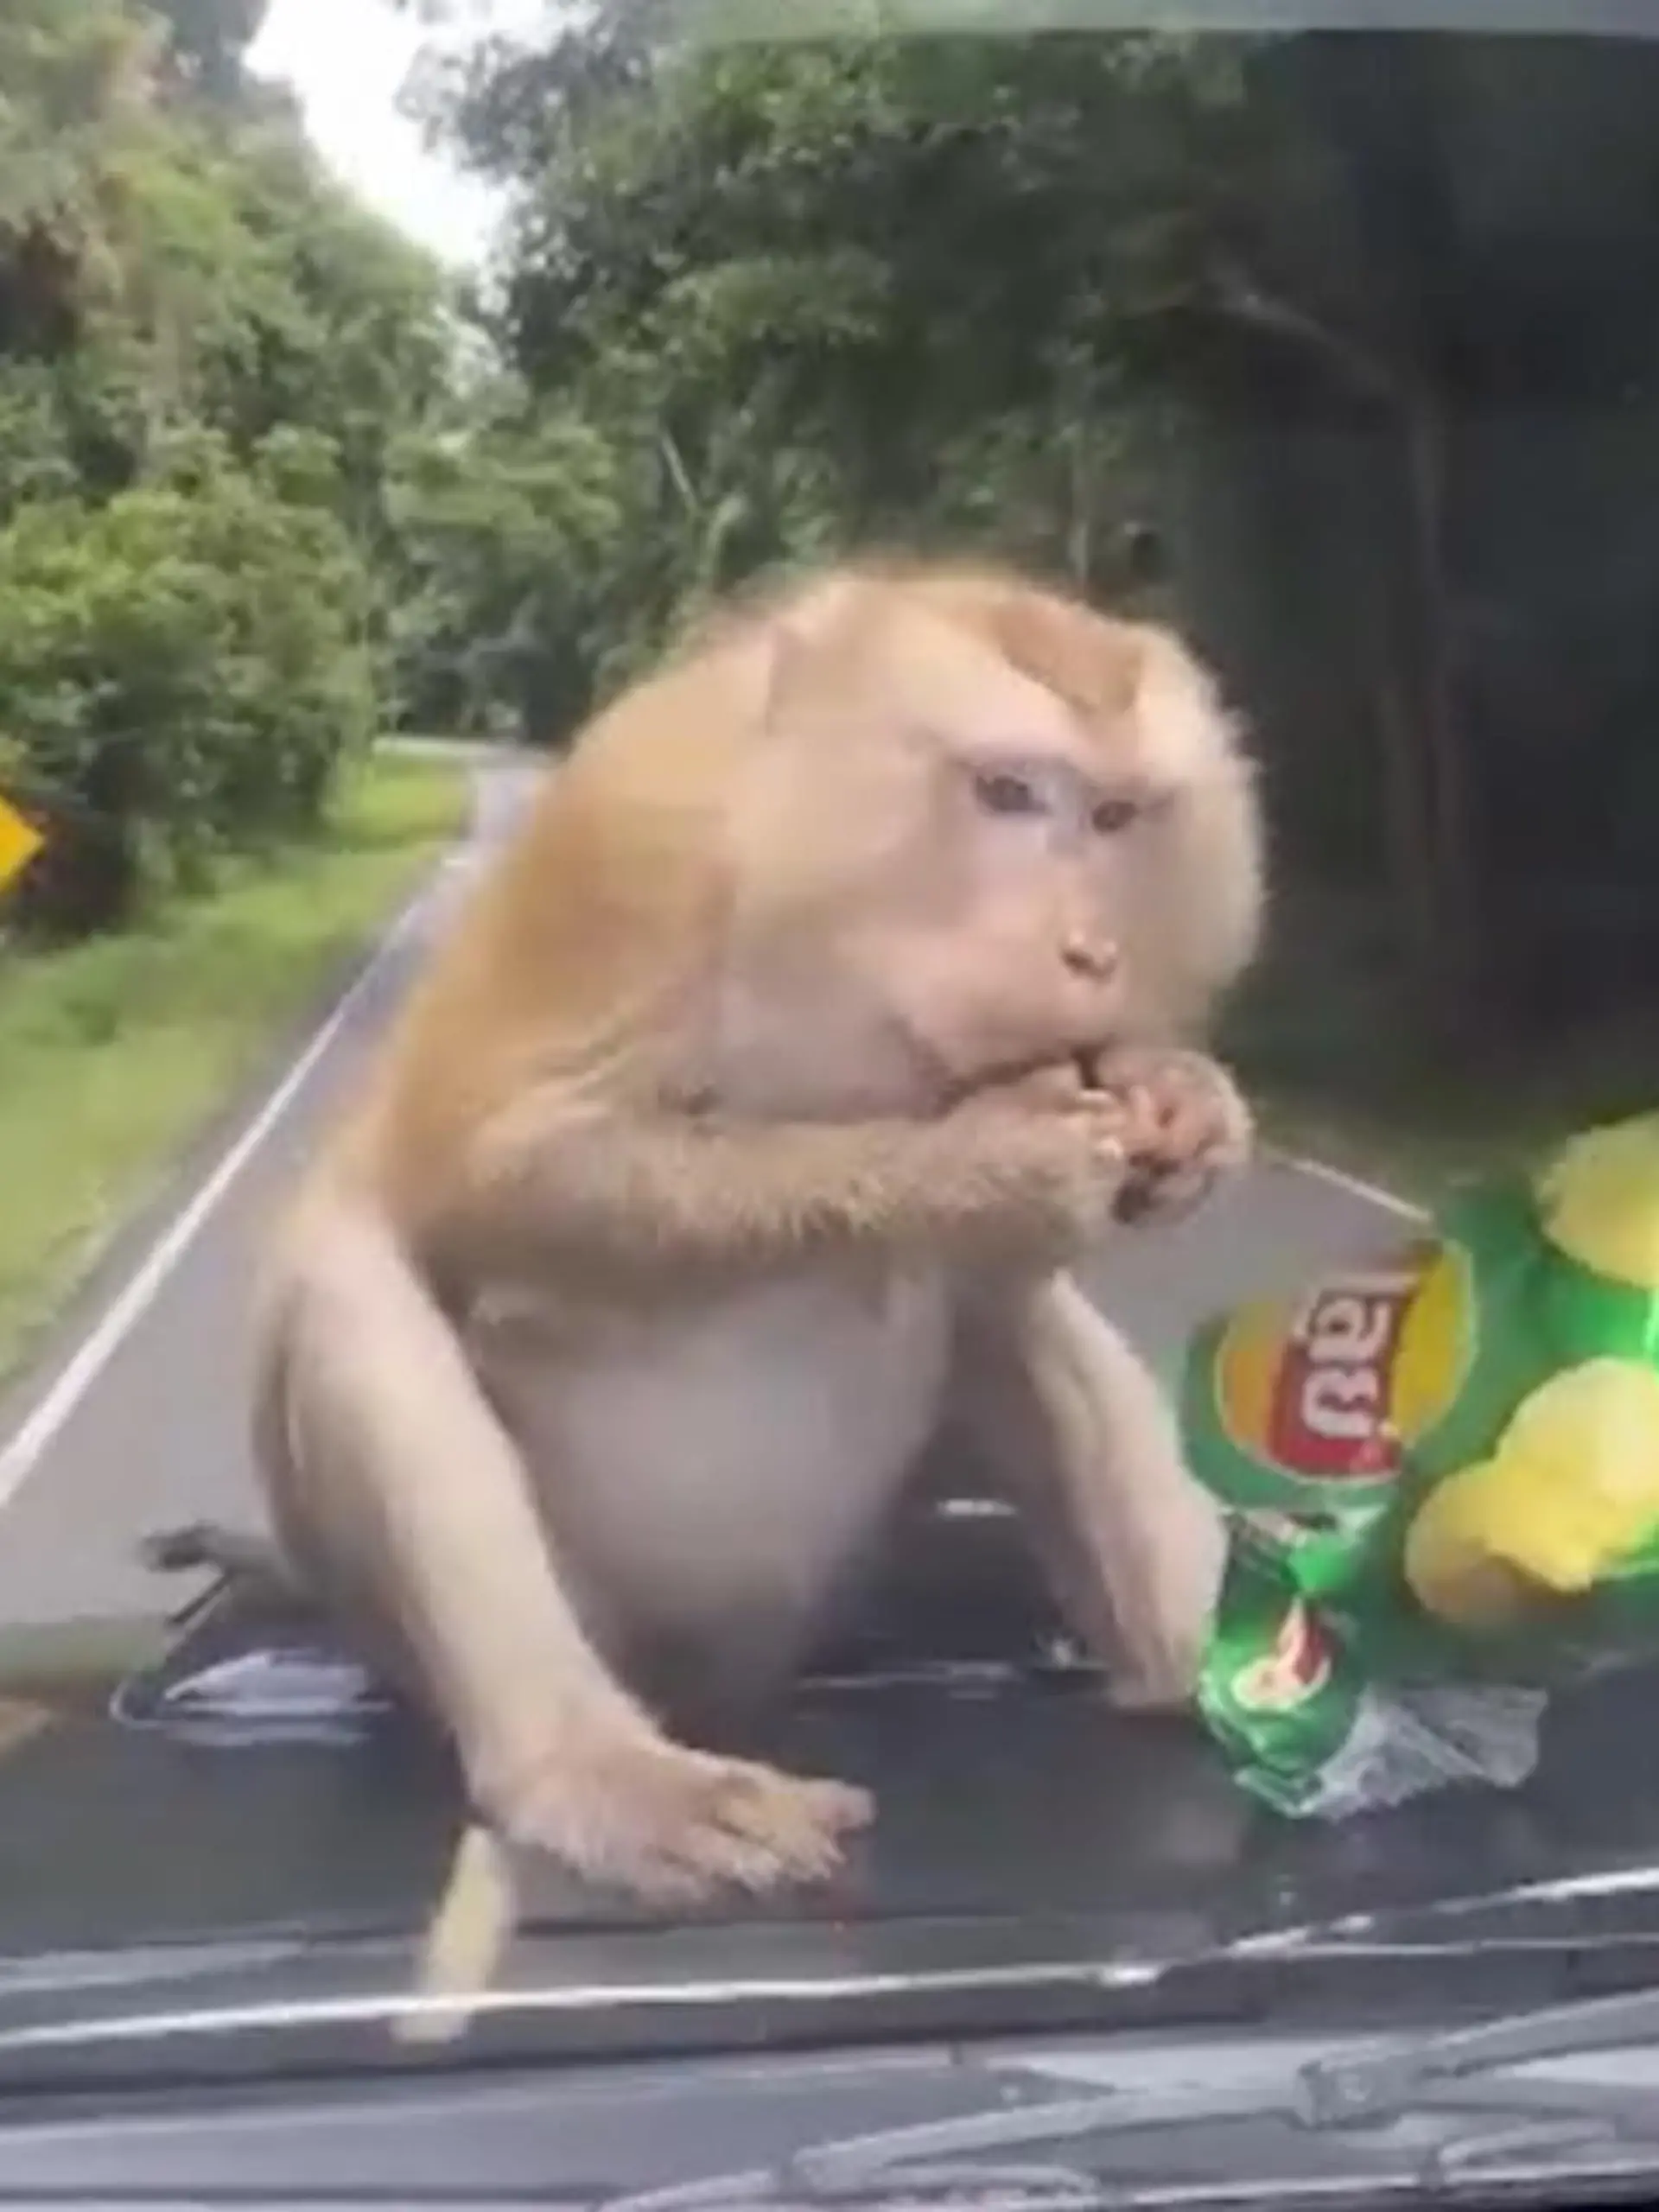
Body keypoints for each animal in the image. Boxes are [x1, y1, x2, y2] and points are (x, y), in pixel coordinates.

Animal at [249, 555, 1264, 1906]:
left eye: (1115, 818)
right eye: (1006, 793)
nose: (1094, 952)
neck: (838, 944)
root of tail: (715, 1679)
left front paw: (1184, 1099)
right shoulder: (637, 839)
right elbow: (498, 1170)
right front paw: (983, 1165)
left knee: (1003, 1311)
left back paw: (1214, 1666)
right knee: (348, 1293)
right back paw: (607, 1773)